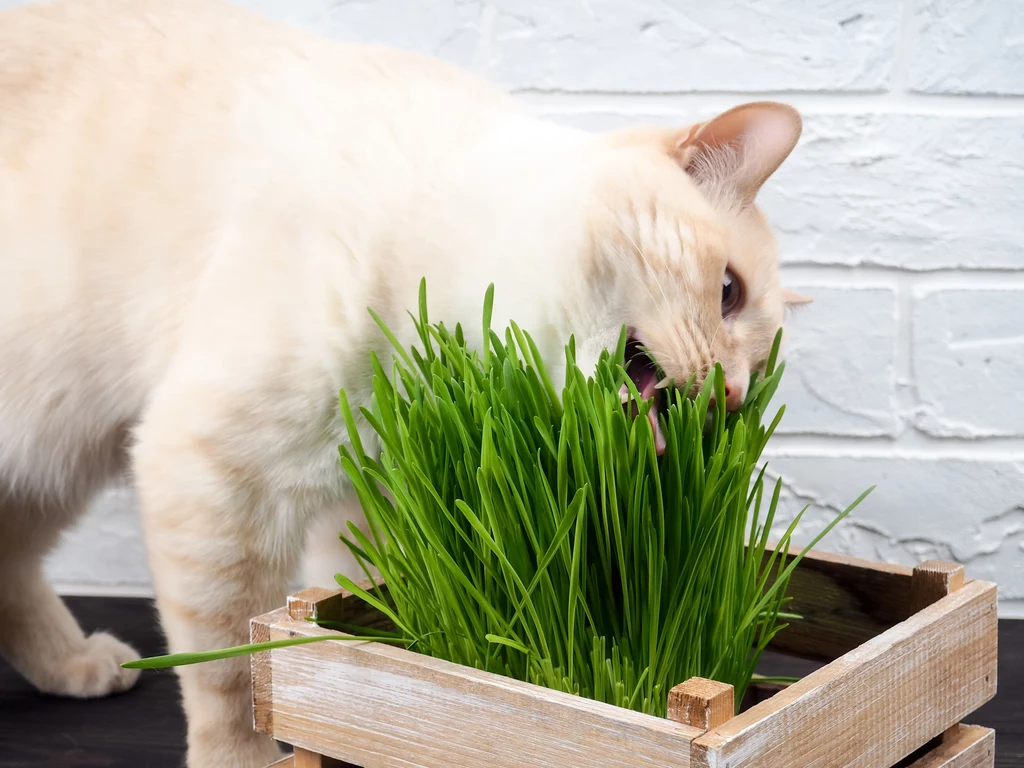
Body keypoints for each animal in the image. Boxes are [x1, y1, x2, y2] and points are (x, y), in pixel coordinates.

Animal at [0, 0, 811, 765]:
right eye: (729, 293)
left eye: (759, 368)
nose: (733, 397)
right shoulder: (212, 479)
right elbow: (232, 669)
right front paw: (249, 760)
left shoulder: (374, 502)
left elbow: (365, 625)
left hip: (55, 455)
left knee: (11, 561)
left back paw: (78, 665)